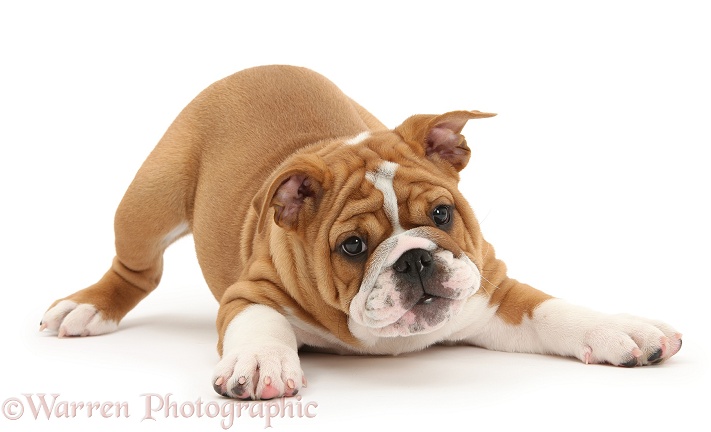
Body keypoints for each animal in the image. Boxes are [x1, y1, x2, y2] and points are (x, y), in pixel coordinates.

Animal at [40, 66, 684, 400]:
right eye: (353, 246)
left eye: (442, 215)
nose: (415, 258)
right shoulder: (251, 292)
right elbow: (259, 324)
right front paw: (262, 364)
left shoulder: (490, 286)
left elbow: (552, 310)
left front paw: (621, 330)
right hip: (149, 201)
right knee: (135, 268)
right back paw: (86, 307)